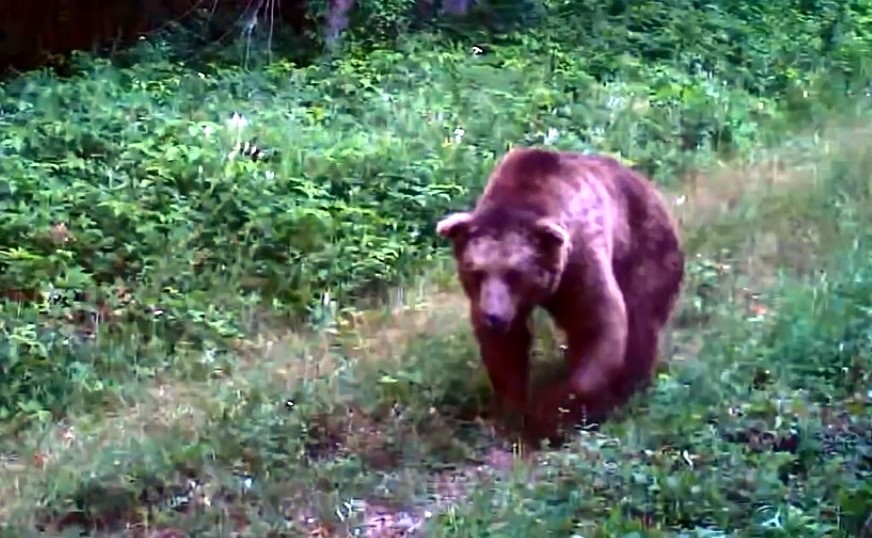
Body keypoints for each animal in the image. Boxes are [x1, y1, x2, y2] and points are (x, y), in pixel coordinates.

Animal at [436, 146, 688, 444]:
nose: (493, 316)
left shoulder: (579, 259)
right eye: (477, 271)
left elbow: (597, 324)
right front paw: (513, 412)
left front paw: (551, 413)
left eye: (514, 273)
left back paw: (629, 389)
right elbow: (506, 349)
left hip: (644, 249)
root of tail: (648, 186)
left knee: (641, 320)